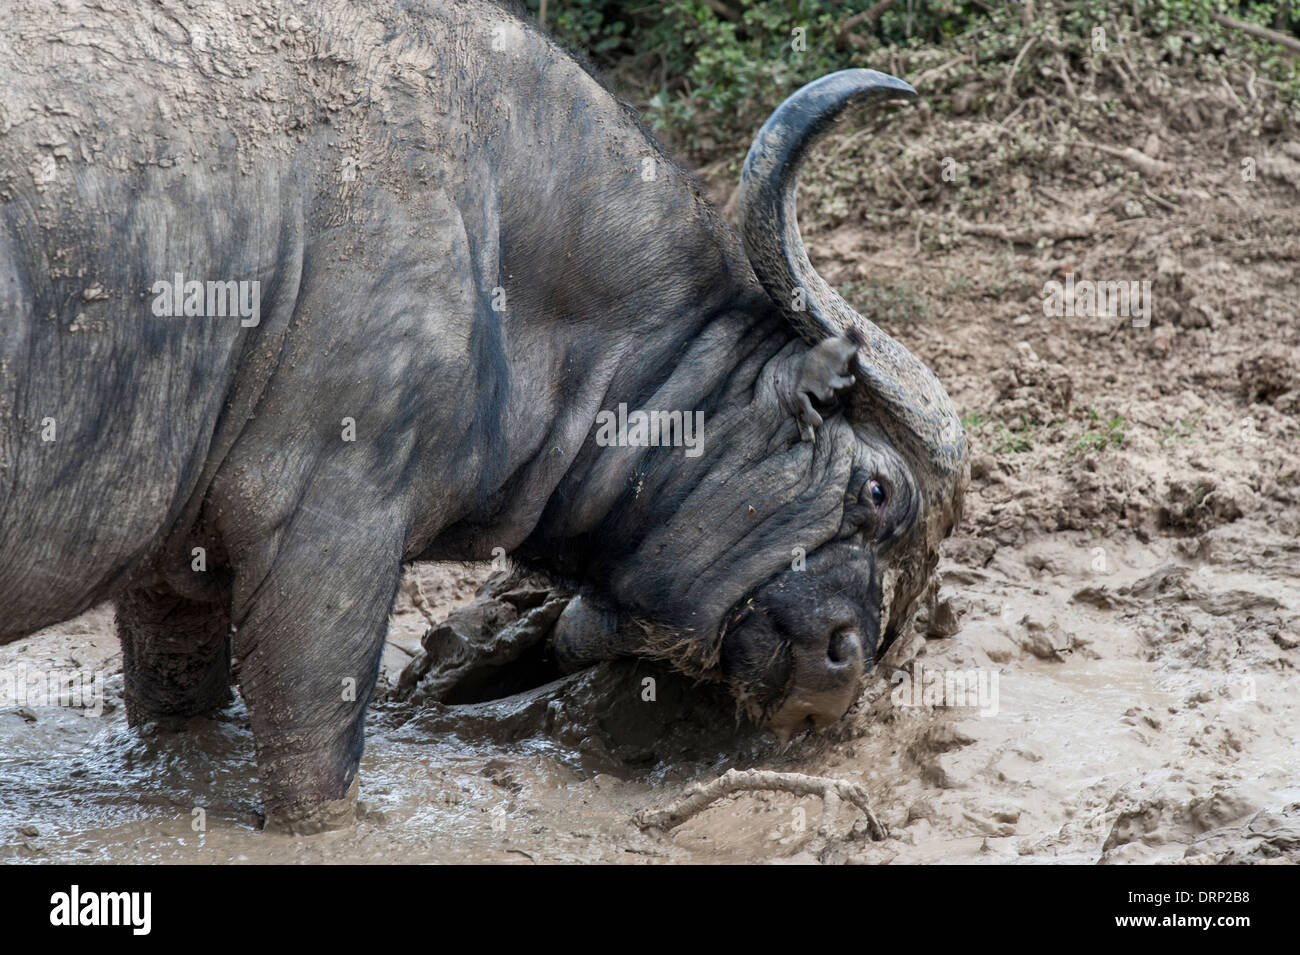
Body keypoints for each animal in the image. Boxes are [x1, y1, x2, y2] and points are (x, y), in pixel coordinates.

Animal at [0, 0, 967, 831]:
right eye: (879, 491)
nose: (844, 661)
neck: (497, 227)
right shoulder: (328, 529)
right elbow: (314, 746)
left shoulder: (174, 567)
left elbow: (178, 702)